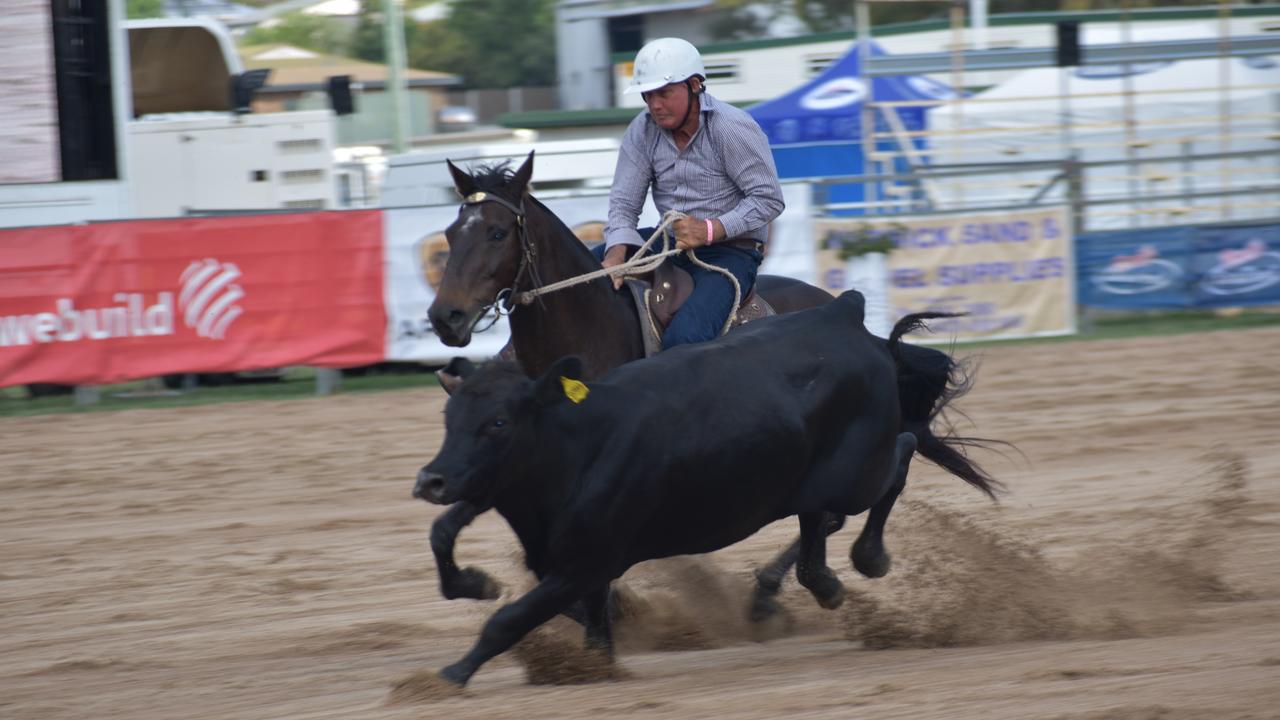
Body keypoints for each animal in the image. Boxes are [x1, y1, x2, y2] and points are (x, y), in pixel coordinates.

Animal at [417, 292, 988, 681]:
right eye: (449, 416)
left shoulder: (587, 563)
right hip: (809, 478)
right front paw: (478, 585)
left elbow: (510, 619)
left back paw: (867, 558)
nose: (432, 479)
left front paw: (448, 676)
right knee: (816, 527)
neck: (580, 443)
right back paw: (810, 588)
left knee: (899, 455)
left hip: (856, 471)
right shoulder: (528, 528)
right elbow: (449, 537)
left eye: (498, 423)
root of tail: (843, 313)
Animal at [422, 149, 998, 617]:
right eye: (450, 235)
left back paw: (792, 584)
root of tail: (848, 314)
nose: (445, 316)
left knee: (835, 506)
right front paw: (477, 585)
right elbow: (458, 527)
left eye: (497, 232)